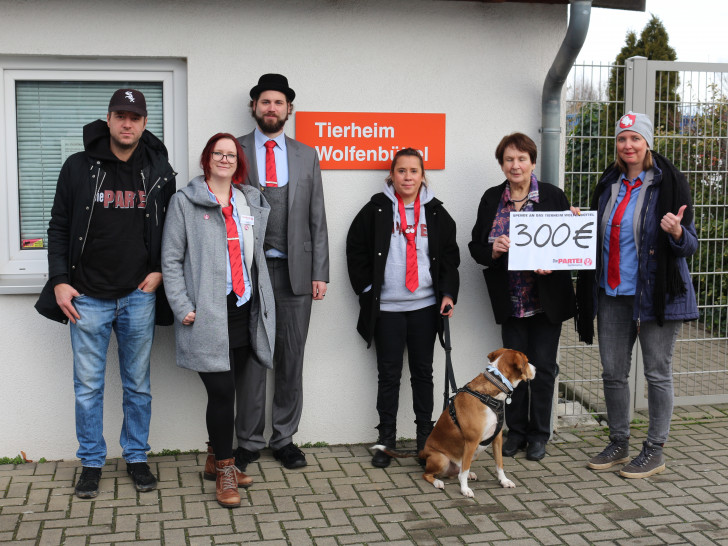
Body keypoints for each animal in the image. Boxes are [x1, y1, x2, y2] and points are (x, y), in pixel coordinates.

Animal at [376, 348, 536, 498]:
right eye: (527, 361)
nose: (536, 369)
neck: (492, 392)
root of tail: (423, 452)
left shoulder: (497, 438)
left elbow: (499, 464)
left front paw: (504, 481)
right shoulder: (471, 442)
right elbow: (463, 472)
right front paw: (464, 489)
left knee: (457, 470)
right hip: (442, 459)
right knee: (429, 474)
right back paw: (438, 482)